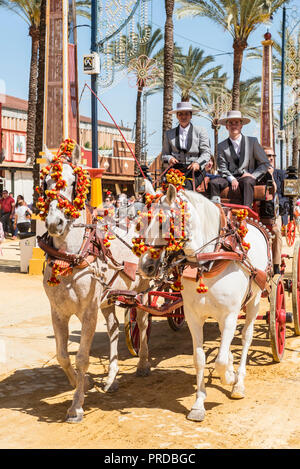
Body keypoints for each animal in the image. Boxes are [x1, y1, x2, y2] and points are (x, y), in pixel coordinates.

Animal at [40, 144, 150, 420]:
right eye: (46, 183)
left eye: (72, 182)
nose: (54, 223)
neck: (70, 258)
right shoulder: (57, 311)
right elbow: (62, 355)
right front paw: (84, 383)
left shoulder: (88, 312)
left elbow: (81, 358)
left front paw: (76, 405)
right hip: (109, 299)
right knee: (113, 329)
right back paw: (112, 378)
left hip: (144, 292)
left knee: (143, 325)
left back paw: (143, 363)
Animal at [138, 183, 270, 420]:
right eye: (143, 222)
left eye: (163, 223)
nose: (145, 266)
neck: (208, 262)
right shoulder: (193, 316)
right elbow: (199, 359)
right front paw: (199, 404)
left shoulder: (230, 315)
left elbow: (219, 361)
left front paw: (230, 378)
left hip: (254, 300)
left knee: (246, 337)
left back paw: (238, 382)